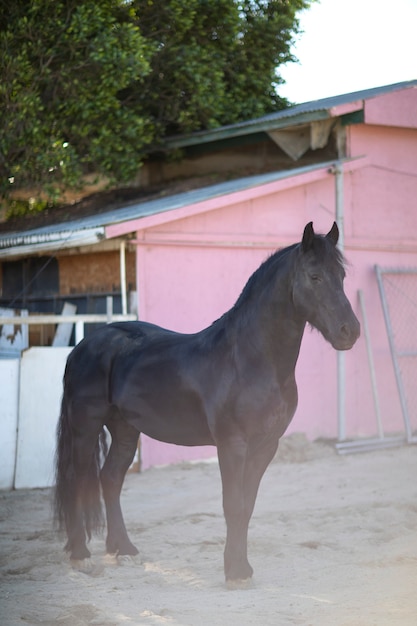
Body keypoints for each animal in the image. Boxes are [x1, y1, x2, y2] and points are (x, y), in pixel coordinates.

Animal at [55, 222, 360, 584]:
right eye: (314, 276)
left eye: (341, 275)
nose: (350, 331)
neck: (250, 359)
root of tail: (82, 346)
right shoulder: (232, 444)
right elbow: (233, 504)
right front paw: (236, 572)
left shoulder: (266, 445)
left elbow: (247, 504)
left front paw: (241, 567)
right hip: (86, 427)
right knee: (77, 480)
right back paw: (80, 555)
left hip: (125, 429)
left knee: (111, 479)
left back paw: (124, 549)